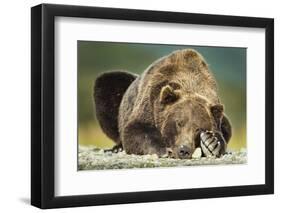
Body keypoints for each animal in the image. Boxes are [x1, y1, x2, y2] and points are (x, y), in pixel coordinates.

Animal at [93, 48, 231, 158]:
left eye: (198, 129)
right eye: (179, 123)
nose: (184, 150)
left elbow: (221, 133)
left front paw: (211, 143)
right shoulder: (150, 101)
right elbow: (135, 129)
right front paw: (163, 149)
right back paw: (117, 148)